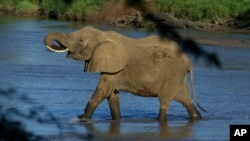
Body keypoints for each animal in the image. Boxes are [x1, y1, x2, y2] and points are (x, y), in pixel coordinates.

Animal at [44, 25, 205, 120]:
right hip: (178, 78)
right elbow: (112, 95)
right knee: (186, 99)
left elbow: (103, 90)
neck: (103, 35)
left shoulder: (116, 67)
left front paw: (81, 119)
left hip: (172, 75)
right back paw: (197, 117)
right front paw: (117, 120)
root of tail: (189, 62)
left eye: (81, 41)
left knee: (164, 101)